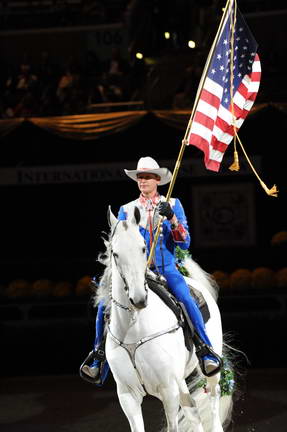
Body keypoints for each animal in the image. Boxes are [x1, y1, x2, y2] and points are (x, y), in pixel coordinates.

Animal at [97, 207, 236, 432]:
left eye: (143, 248)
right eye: (115, 253)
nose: (139, 299)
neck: (134, 329)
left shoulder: (168, 389)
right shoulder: (127, 395)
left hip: (209, 370)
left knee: (213, 398)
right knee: (193, 411)